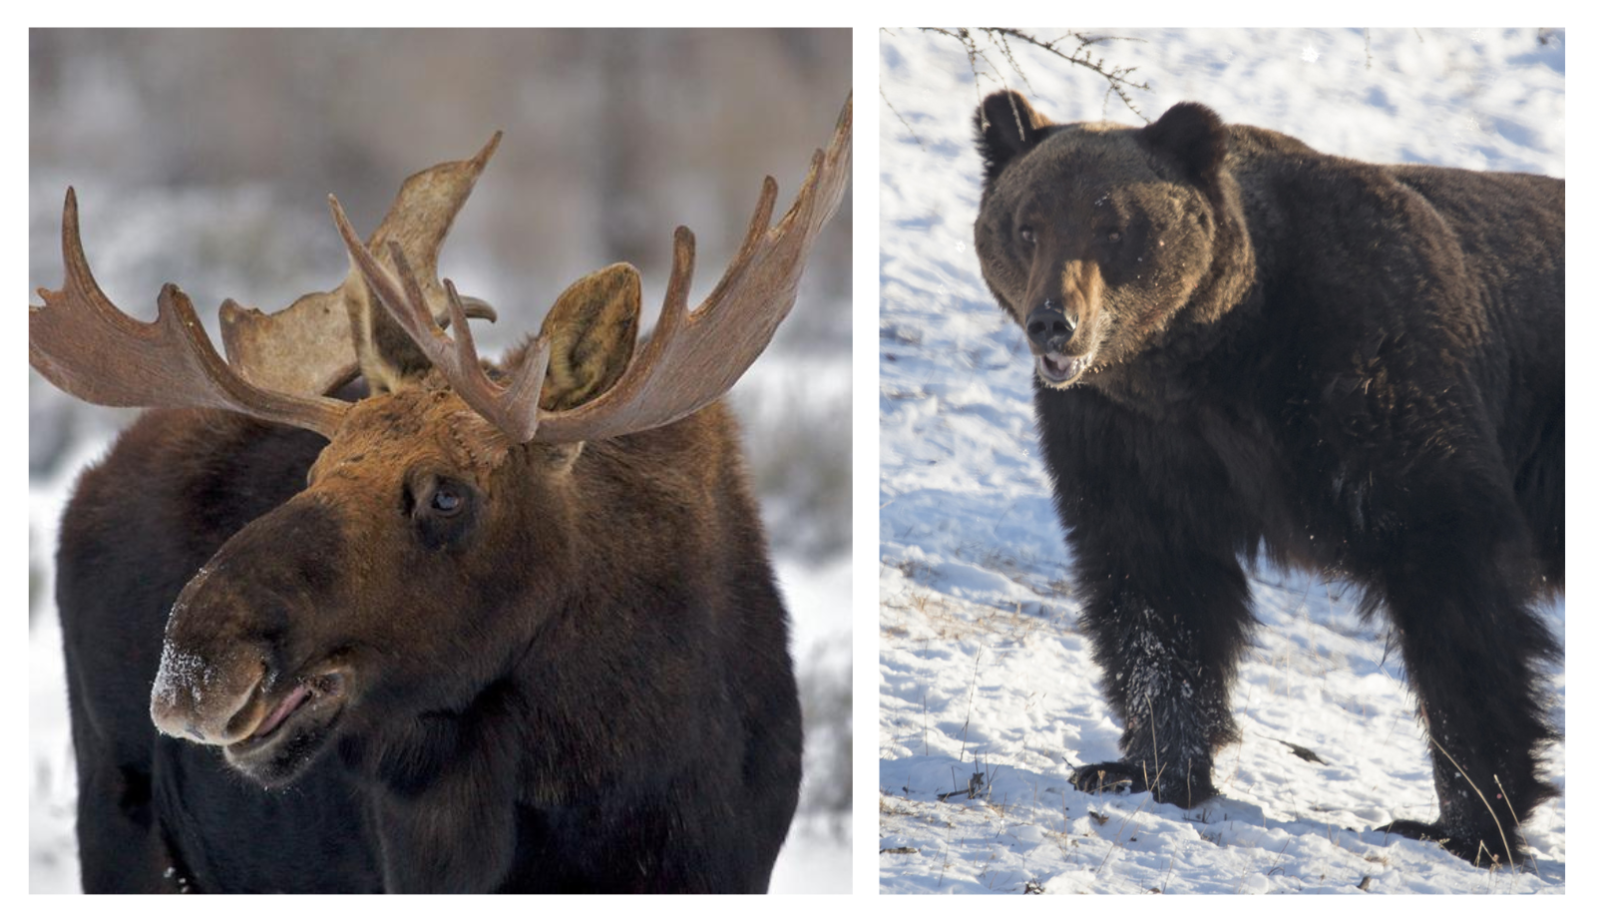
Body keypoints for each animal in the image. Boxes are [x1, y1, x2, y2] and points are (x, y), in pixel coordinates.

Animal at [972, 90, 1561, 870]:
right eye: (1026, 224)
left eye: (1113, 225)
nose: (1054, 323)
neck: (1210, 362)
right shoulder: (1133, 440)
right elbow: (1158, 596)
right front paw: (1145, 769)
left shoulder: (1382, 390)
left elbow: (1458, 601)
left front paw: (1465, 825)